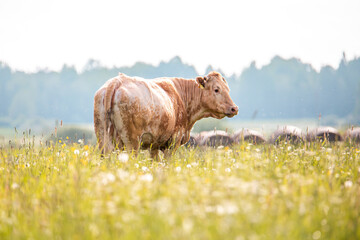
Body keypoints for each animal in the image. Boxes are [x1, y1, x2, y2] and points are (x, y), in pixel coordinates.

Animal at [94, 71, 238, 158]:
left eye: (228, 89)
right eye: (216, 89)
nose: (234, 108)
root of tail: (116, 81)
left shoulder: (154, 146)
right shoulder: (173, 142)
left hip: (103, 139)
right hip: (131, 142)